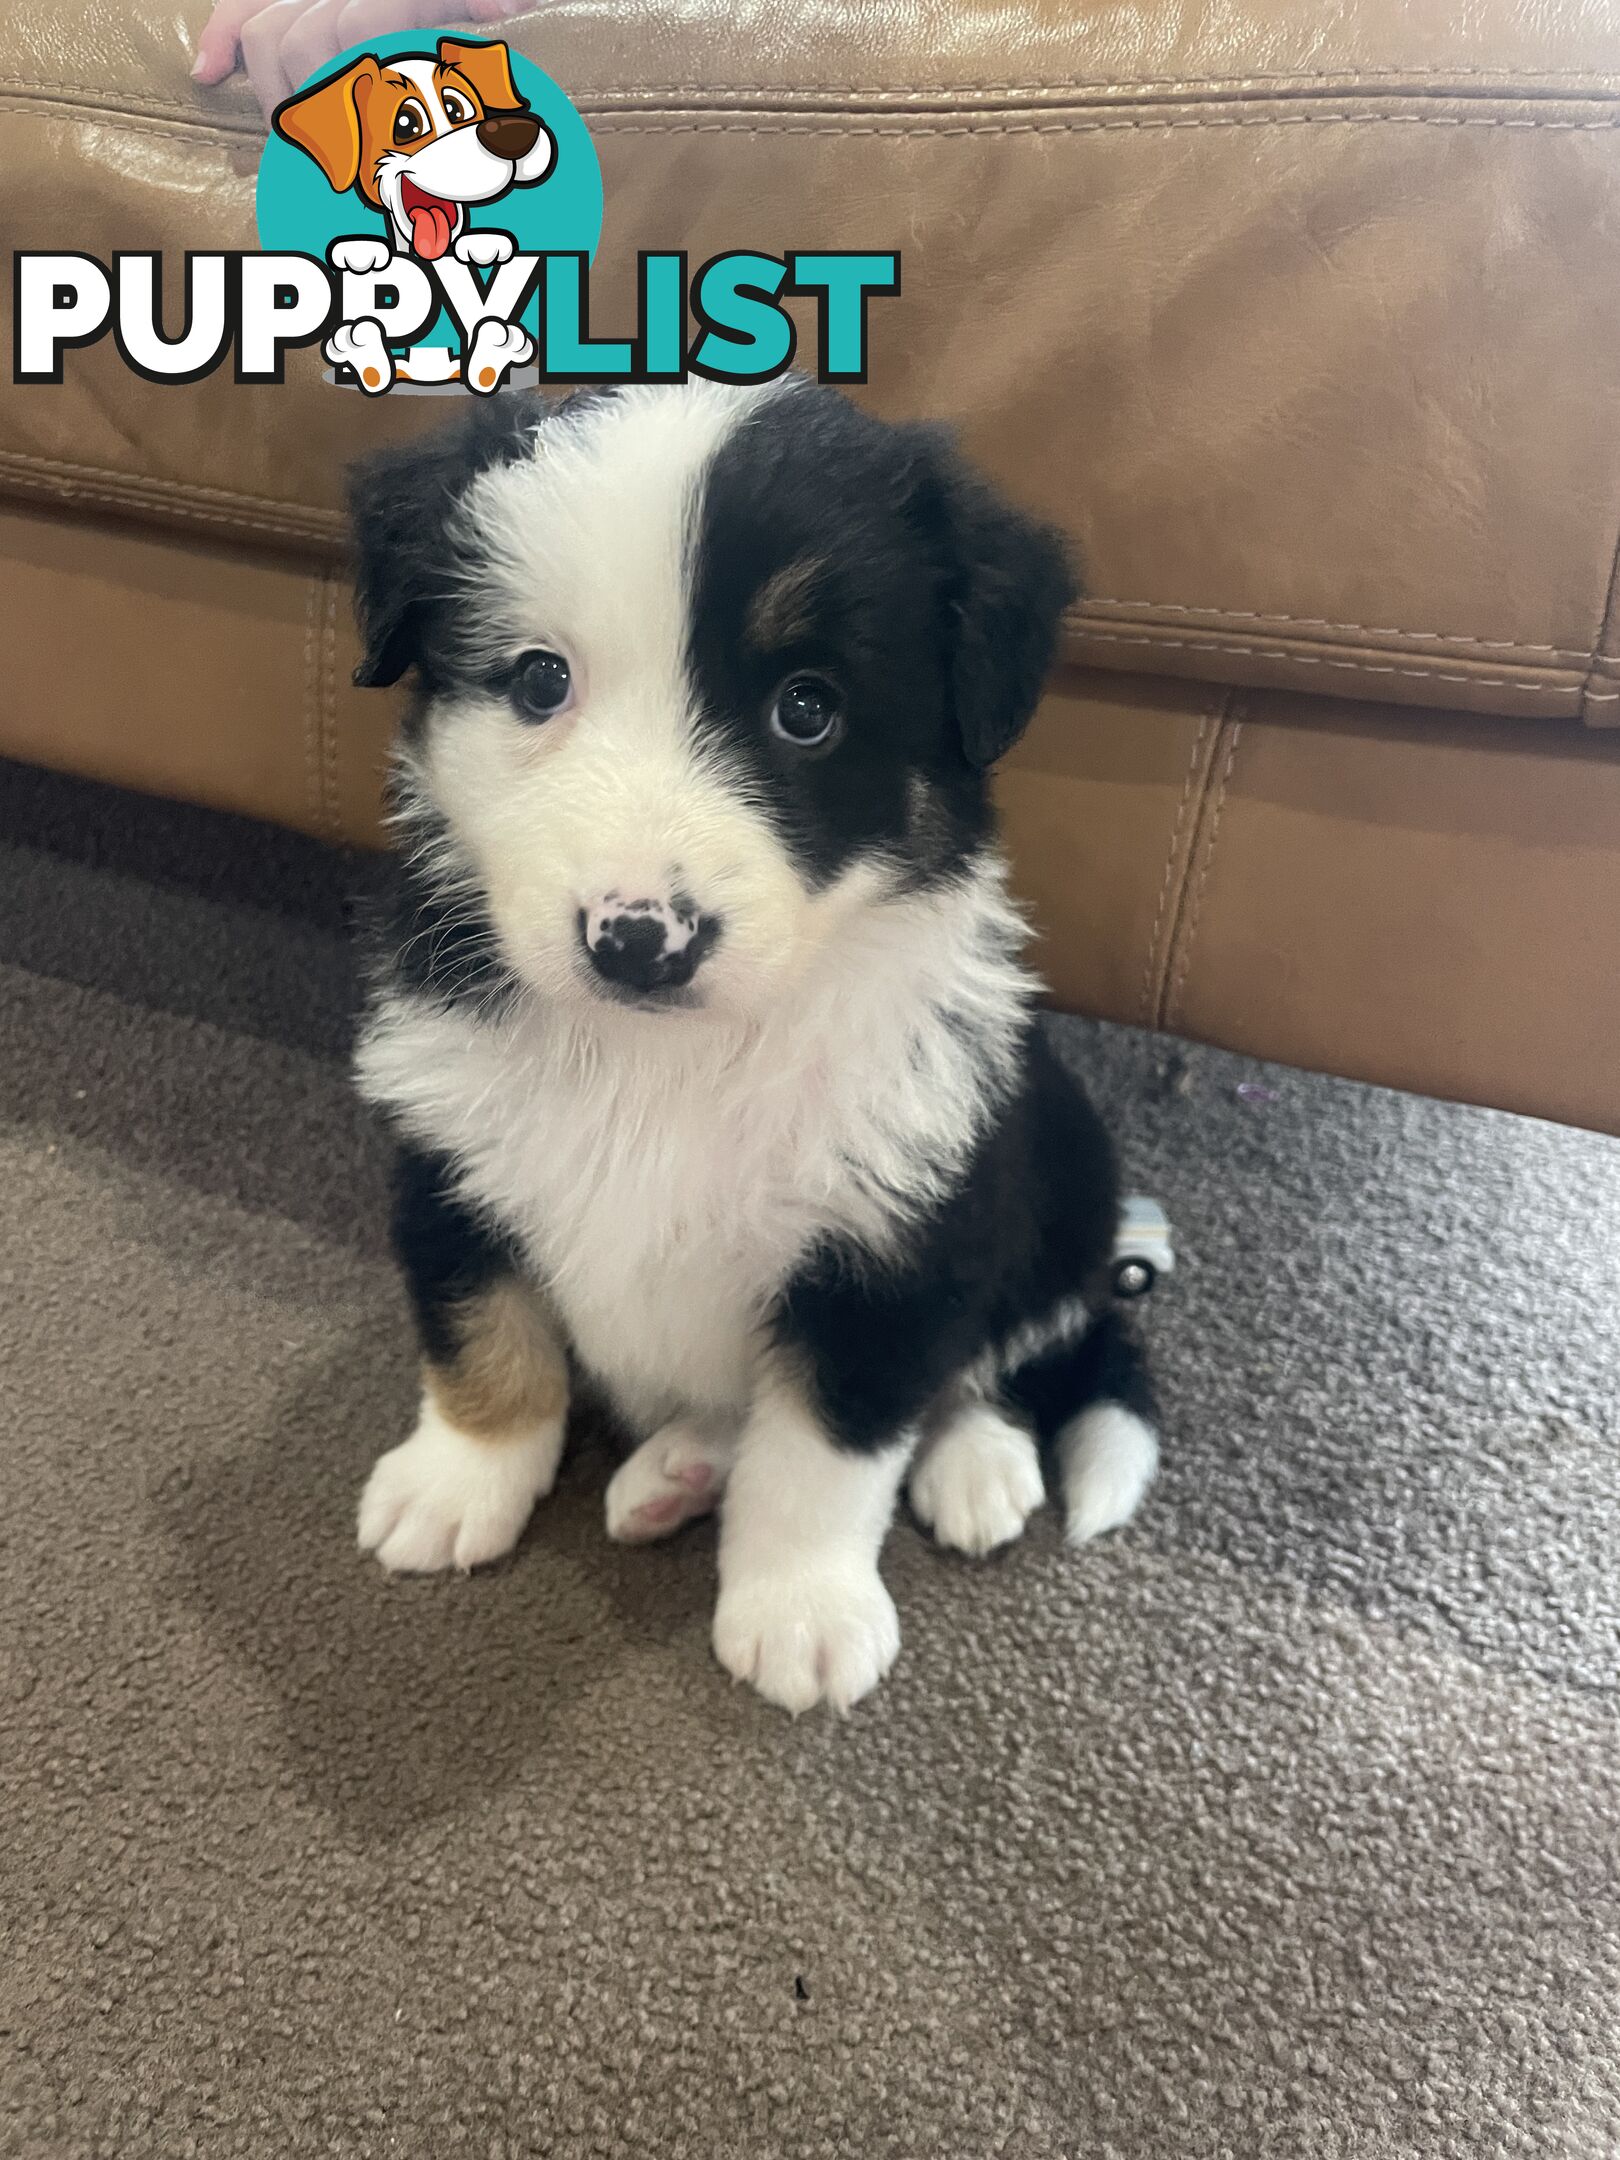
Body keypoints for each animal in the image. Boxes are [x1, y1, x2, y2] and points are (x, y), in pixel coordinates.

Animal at [349, 380, 1157, 1710]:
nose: (637, 940)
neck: (667, 1063)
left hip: (1064, 1167)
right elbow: (483, 1334)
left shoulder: (896, 1238)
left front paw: (803, 1611)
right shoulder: (448, 1144)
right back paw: (674, 1474)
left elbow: (825, 1450)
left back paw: (974, 1466)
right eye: (537, 682)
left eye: (808, 709)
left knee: (1011, 1351)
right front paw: (458, 1482)